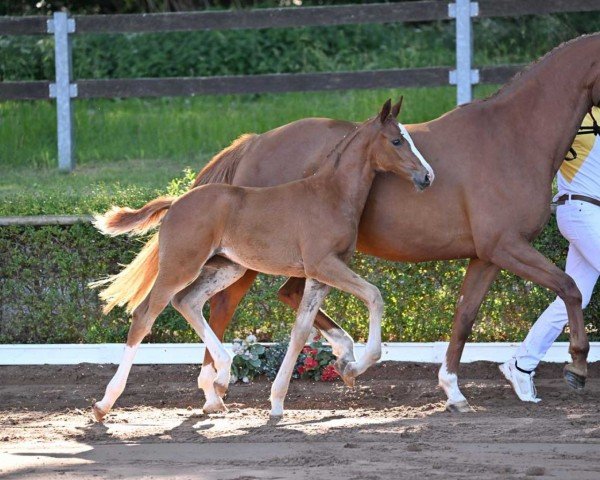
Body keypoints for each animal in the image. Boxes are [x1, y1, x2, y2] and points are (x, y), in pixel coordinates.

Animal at [91, 98, 434, 420]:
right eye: (397, 141)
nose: (427, 176)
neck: (331, 194)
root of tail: (175, 202)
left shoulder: (319, 274)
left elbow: (300, 330)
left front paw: (280, 401)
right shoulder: (324, 264)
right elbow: (374, 296)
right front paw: (354, 366)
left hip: (228, 267)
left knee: (188, 301)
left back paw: (220, 378)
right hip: (180, 266)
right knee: (145, 314)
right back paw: (105, 403)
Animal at [191, 33, 596, 410]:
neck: (511, 138)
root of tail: (254, 144)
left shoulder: (487, 255)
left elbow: (465, 315)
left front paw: (453, 390)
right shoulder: (507, 245)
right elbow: (570, 287)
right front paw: (577, 365)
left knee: (282, 295)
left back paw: (339, 355)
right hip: (255, 258)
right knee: (222, 304)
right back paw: (216, 385)